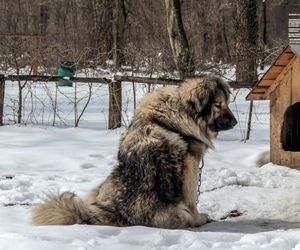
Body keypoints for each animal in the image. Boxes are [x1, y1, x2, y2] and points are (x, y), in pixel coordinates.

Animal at [32, 75, 237, 229]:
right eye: (218, 105)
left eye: (227, 103)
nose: (234, 122)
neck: (180, 113)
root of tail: (117, 212)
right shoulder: (190, 167)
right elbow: (192, 199)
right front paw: (199, 218)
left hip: (106, 182)